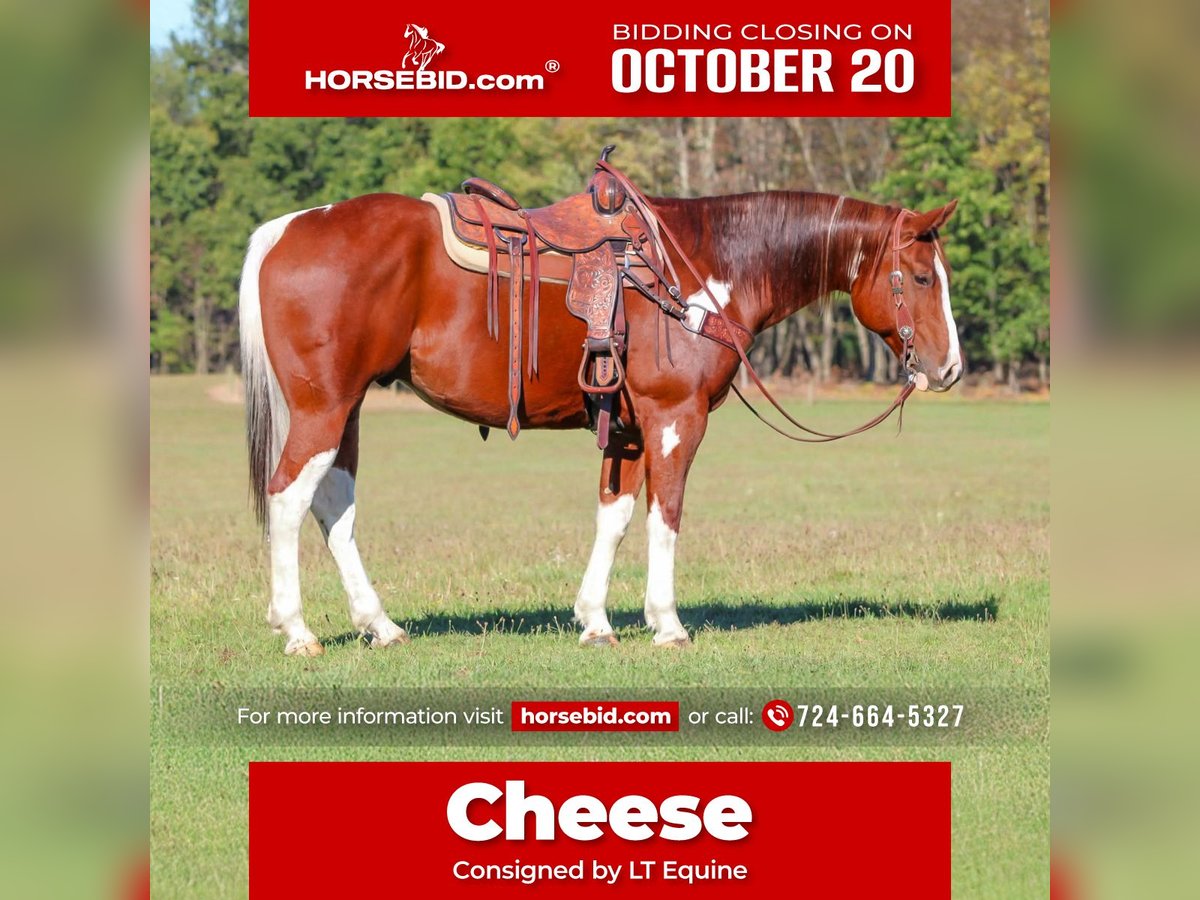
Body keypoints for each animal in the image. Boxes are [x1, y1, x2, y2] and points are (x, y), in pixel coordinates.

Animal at [237, 169, 961, 656]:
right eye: (924, 278)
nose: (949, 368)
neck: (701, 269)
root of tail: (285, 228)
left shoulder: (631, 430)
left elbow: (613, 518)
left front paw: (595, 620)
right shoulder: (675, 418)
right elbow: (666, 516)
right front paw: (667, 623)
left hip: (347, 410)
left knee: (333, 505)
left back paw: (380, 625)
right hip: (323, 409)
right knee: (288, 498)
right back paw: (297, 629)